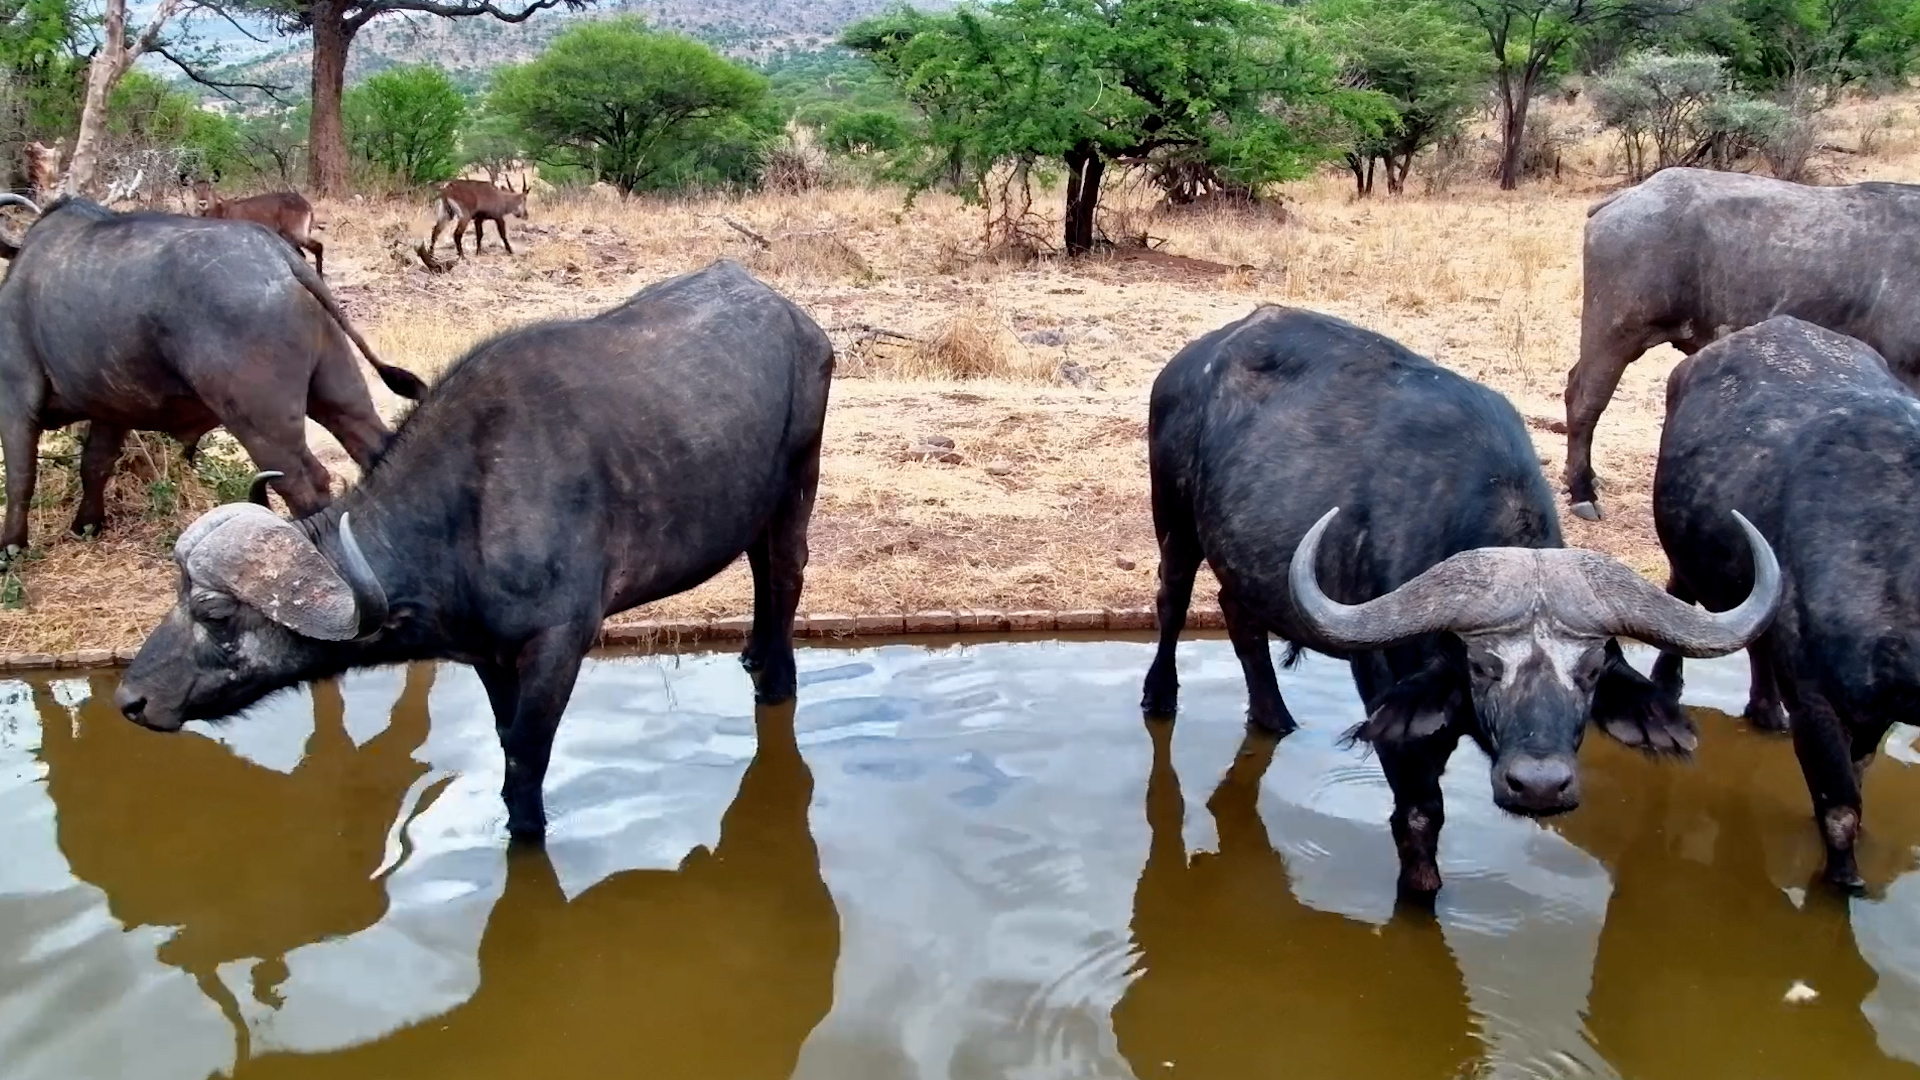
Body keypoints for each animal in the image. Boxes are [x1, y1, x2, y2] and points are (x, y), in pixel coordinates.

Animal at [0, 193, 427, 557]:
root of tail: (277, 255)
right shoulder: (110, 409)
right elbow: (94, 464)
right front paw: (86, 525)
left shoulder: (15, 402)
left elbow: (21, 476)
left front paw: (11, 547)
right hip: (338, 392)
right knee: (374, 445)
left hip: (261, 425)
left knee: (305, 483)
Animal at [114, 260, 834, 841]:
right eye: (177, 594)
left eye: (215, 612)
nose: (131, 700)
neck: (468, 510)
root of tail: (795, 319)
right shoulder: (488, 655)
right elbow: (506, 744)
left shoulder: (559, 643)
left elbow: (526, 759)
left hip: (799, 480)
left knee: (784, 574)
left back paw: (775, 677)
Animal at [1142, 305, 1780, 895]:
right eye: (1481, 666)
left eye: (1592, 670)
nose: (1540, 785)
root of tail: (1187, 363)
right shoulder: (1384, 688)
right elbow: (1420, 815)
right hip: (1173, 520)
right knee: (1173, 600)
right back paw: (1160, 696)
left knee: (1238, 613)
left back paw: (1275, 717)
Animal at [1651, 315, 1920, 888]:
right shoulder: (1816, 702)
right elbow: (1840, 806)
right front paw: (1844, 881)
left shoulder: (1875, 711)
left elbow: (1855, 782)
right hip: (1683, 554)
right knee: (1681, 596)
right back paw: (1668, 684)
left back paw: (1765, 711)